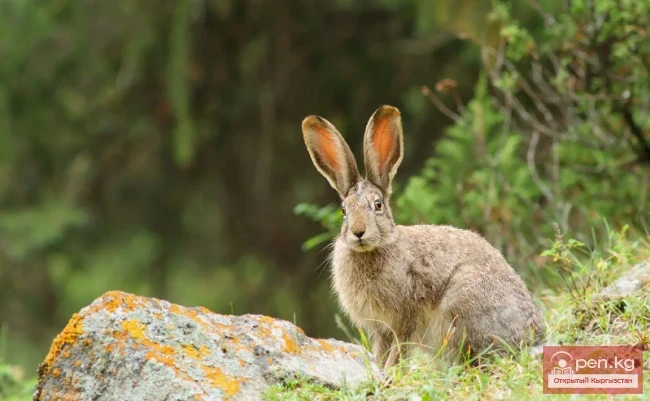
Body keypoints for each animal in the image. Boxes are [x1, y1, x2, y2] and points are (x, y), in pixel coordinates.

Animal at [301, 105, 546, 368]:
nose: (358, 232)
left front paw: (389, 373)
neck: (379, 246)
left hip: (463, 304)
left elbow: (398, 350)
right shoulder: (381, 328)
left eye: (377, 205)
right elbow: (382, 351)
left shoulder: (406, 318)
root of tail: (533, 338)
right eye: (344, 211)